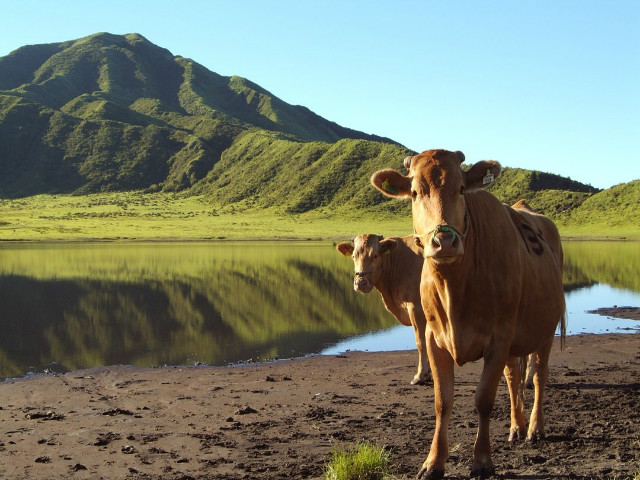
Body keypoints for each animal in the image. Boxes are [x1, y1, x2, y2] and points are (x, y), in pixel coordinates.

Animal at [336, 234, 430, 384]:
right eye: (353, 256)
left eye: (375, 255)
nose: (360, 282)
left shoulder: (416, 306)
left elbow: (421, 341)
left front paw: (420, 375)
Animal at [370, 150, 564, 480]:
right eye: (415, 192)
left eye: (461, 189)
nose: (444, 241)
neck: (454, 289)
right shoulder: (434, 338)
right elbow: (442, 402)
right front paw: (433, 462)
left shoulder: (499, 338)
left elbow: (484, 399)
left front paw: (482, 460)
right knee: (513, 377)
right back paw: (516, 427)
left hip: (545, 331)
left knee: (539, 376)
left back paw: (534, 429)